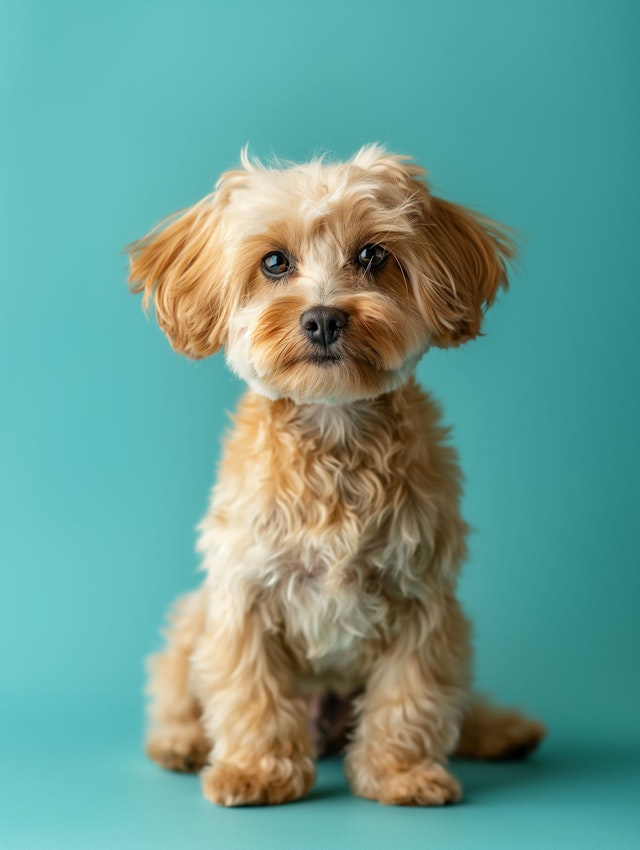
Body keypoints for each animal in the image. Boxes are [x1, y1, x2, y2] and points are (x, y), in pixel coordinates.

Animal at [129, 147, 544, 808]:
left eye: (373, 255)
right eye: (274, 262)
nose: (323, 319)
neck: (335, 429)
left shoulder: (424, 601)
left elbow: (410, 697)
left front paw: (401, 774)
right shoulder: (243, 595)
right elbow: (250, 694)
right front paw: (257, 771)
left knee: (458, 703)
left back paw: (501, 729)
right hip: (193, 617)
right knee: (175, 686)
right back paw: (181, 742)